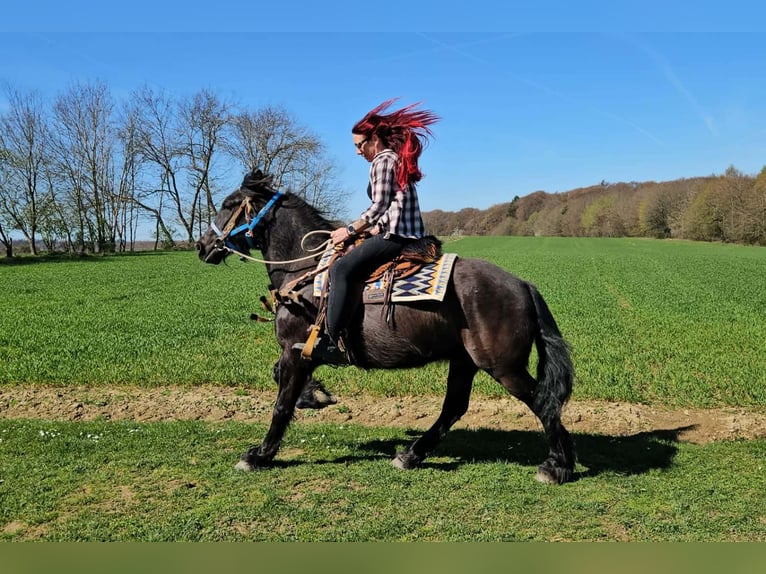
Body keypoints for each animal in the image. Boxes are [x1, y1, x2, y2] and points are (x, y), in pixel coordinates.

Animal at [196, 170, 576, 484]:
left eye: (228, 205)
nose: (201, 246)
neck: (305, 275)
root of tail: (523, 285)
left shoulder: (296, 352)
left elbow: (281, 404)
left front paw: (259, 455)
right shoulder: (300, 354)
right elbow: (280, 380)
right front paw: (315, 394)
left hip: (502, 367)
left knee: (543, 402)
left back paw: (556, 466)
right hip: (465, 361)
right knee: (454, 407)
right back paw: (411, 455)